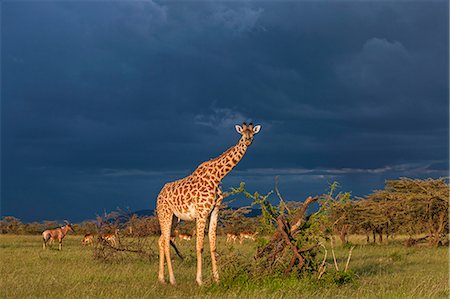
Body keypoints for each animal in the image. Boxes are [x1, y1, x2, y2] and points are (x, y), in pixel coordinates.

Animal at [156, 122, 260, 286]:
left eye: (253, 135)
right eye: (242, 135)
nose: (248, 141)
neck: (217, 176)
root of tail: (159, 195)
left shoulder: (214, 211)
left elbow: (213, 245)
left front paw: (217, 278)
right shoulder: (202, 212)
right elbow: (199, 246)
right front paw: (199, 280)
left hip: (174, 218)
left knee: (161, 240)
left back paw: (161, 279)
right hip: (164, 214)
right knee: (166, 242)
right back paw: (172, 280)